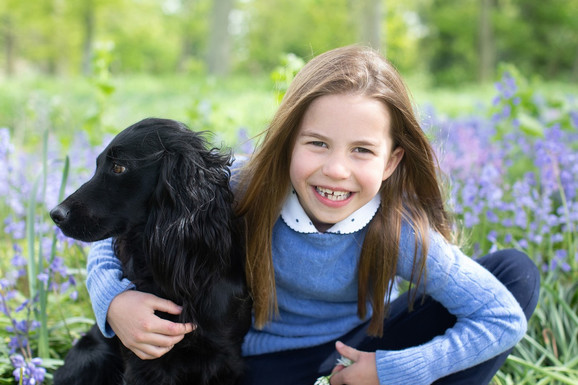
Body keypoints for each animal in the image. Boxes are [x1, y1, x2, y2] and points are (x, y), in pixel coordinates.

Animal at [47, 118, 250, 384]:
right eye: (98, 164)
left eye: (119, 168)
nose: (55, 214)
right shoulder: (144, 358)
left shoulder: (226, 357)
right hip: (91, 355)